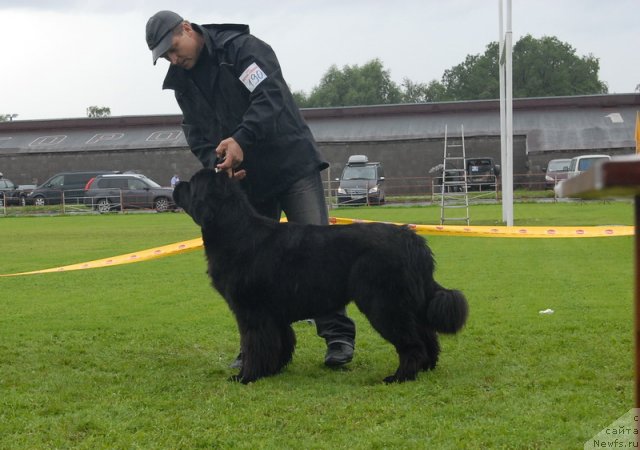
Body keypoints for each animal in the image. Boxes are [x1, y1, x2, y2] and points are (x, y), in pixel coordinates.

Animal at [172, 169, 468, 384]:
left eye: (192, 184)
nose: (176, 185)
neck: (234, 231)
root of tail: (413, 240)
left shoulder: (252, 311)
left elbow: (256, 345)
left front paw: (246, 376)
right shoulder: (274, 314)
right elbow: (280, 343)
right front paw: (272, 370)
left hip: (384, 303)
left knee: (412, 341)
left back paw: (400, 376)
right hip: (407, 301)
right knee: (427, 335)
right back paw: (426, 368)